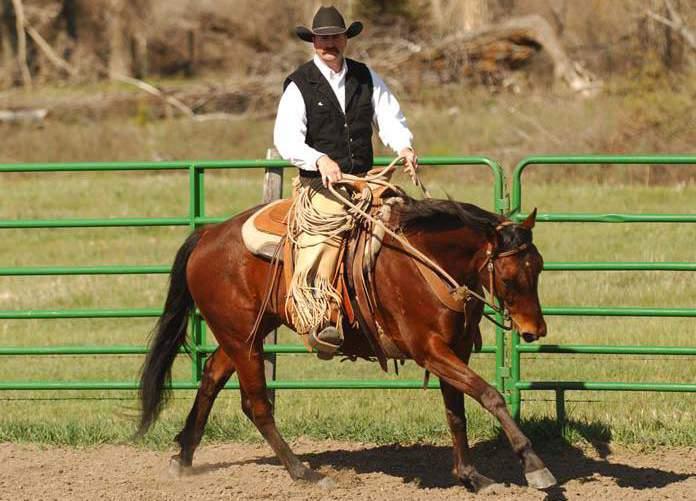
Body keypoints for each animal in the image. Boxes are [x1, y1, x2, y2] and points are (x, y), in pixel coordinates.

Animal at [139, 193, 556, 490]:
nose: (534, 330)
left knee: (211, 377)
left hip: (242, 335)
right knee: (256, 405)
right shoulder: (430, 350)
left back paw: (184, 458)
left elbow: (457, 411)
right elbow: (489, 395)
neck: (427, 261)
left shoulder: (455, 350)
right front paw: (534, 465)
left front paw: (471, 476)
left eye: (538, 267)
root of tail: (208, 234)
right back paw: (304, 473)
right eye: (509, 277)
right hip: (243, 341)